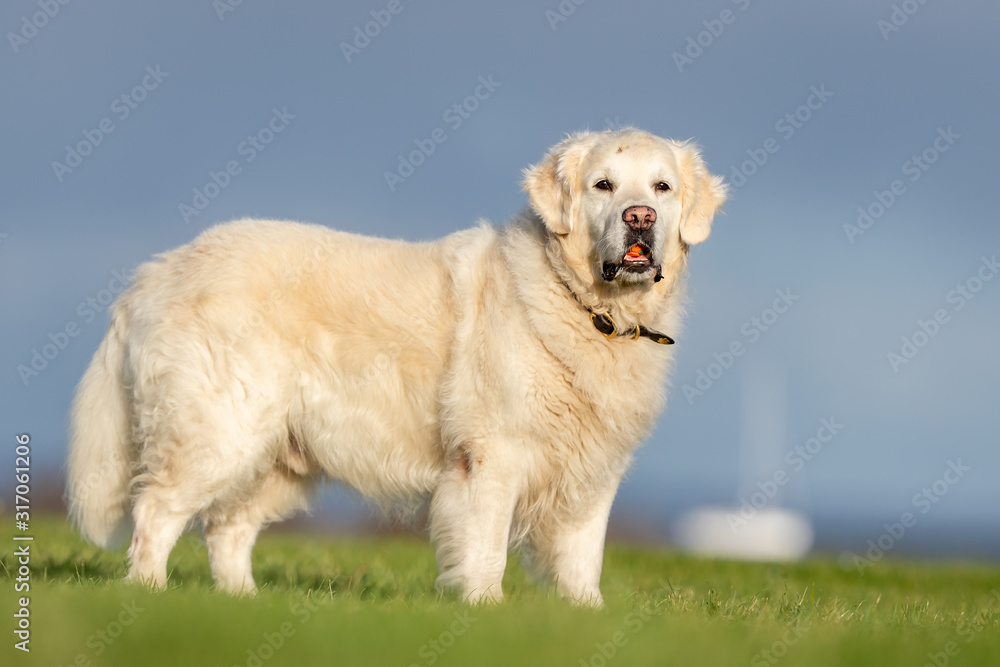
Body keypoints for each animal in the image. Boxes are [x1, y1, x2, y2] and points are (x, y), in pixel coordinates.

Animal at [70, 129, 728, 604]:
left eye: (662, 187)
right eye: (603, 185)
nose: (640, 217)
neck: (590, 308)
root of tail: (159, 269)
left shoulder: (594, 470)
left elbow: (582, 557)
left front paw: (584, 617)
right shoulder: (493, 455)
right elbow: (486, 545)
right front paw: (486, 609)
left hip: (274, 456)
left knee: (225, 528)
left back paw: (243, 602)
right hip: (220, 431)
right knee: (157, 511)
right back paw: (150, 593)